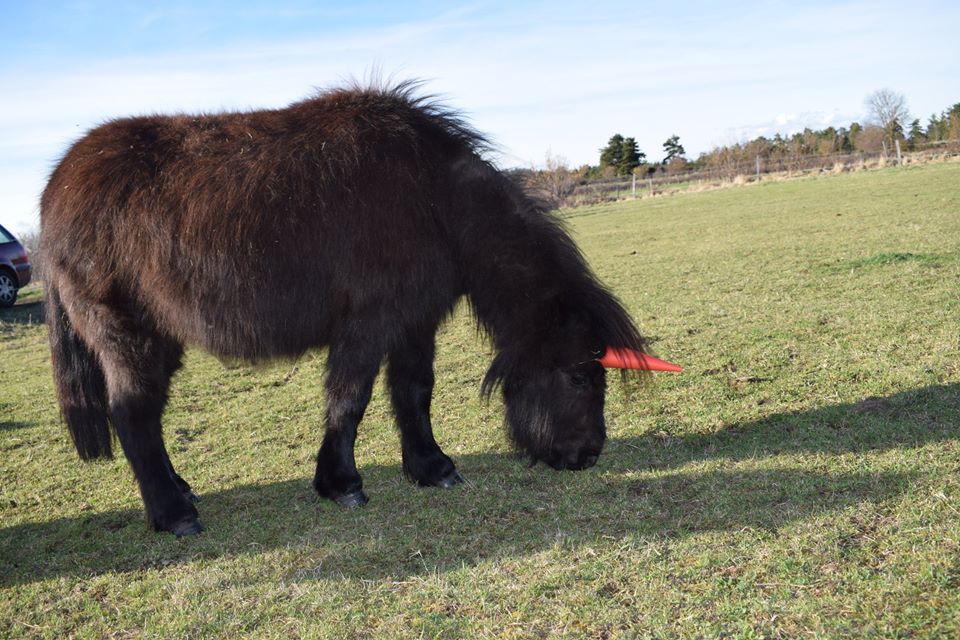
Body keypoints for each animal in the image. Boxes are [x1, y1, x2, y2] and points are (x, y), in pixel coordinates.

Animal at [37, 82, 652, 536]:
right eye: (579, 376)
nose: (589, 455)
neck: (434, 198)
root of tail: (57, 188)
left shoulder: (414, 321)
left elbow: (414, 392)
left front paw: (431, 468)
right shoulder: (367, 324)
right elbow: (350, 401)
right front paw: (342, 484)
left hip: (161, 339)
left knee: (150, 417)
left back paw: (181, 490)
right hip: (125, 335)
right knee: (134, 414)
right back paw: (174, 514)